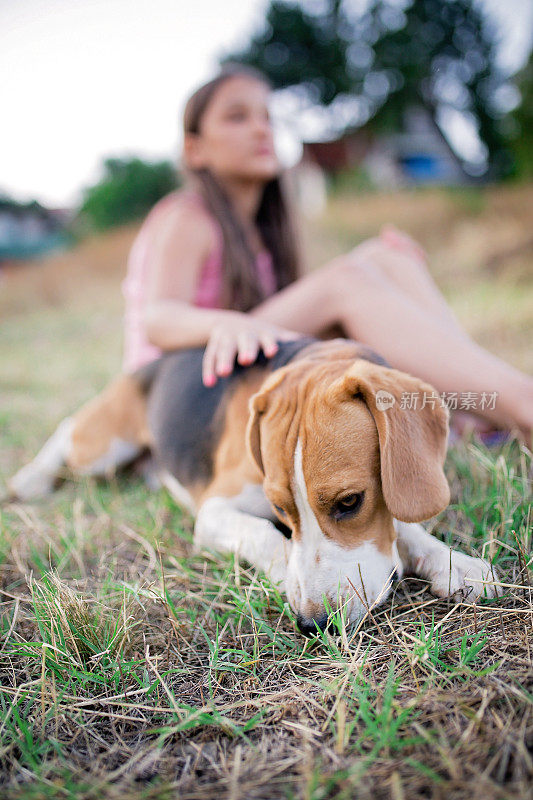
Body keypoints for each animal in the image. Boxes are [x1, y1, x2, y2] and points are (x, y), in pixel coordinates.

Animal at [10, 338, 496, 632]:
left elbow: (405, 526)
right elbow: (264, 535)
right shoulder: (213, 511)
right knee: (68, 430)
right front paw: (289, 576)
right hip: (101, 446)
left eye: (350, 502)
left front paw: (454, 563)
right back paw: (28, 479)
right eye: (280, 509)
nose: (313, 624)